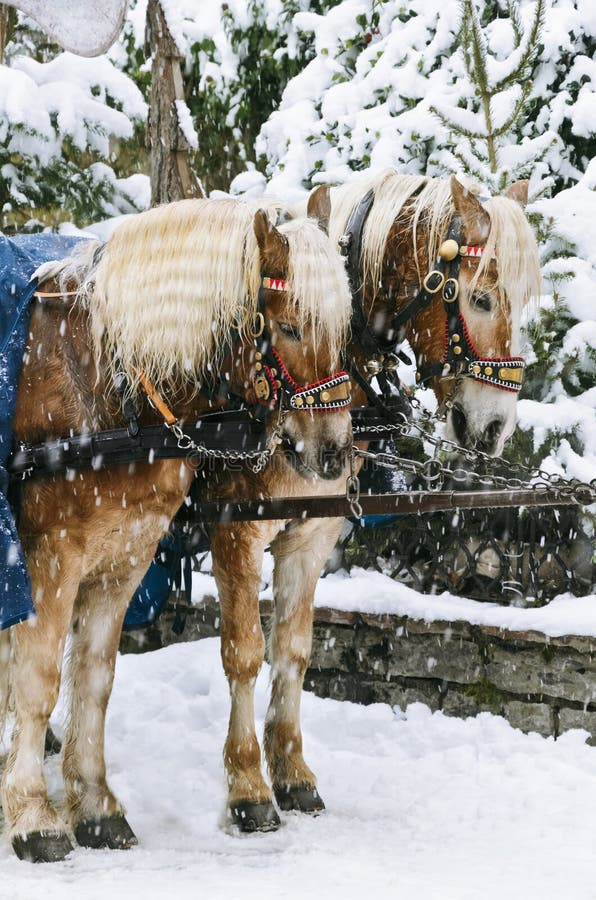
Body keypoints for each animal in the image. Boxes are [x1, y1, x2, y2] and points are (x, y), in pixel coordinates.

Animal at [1, 195, 354, 856]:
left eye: (344, 329)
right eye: (290, 327)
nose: (333, 451)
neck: (108, 385)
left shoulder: (125, 555)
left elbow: (94, 678)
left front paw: (95, 805)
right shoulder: (48, 558)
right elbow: (38, 681)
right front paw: (34, 815)